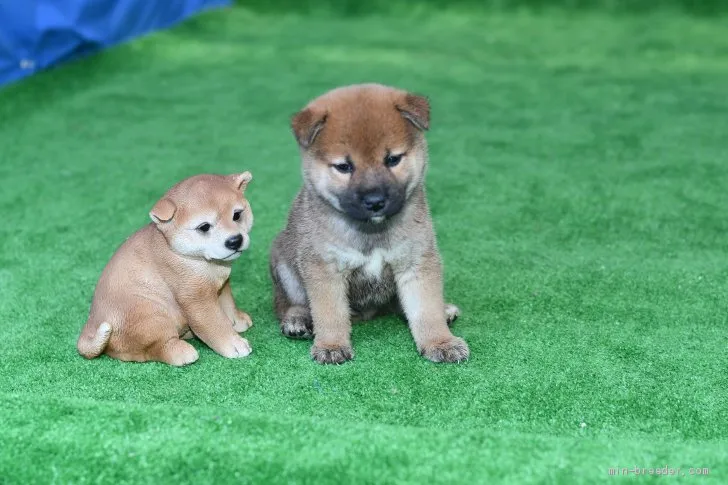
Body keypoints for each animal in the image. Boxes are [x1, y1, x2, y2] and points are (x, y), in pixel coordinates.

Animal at [78, 172, 255, 364]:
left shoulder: (222, 286)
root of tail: (91, 326)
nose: (235, 240)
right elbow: (214, 323)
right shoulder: (197, 300)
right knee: (152, 349)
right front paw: (234, 344)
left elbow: (228, 304)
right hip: (153, 314)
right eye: (204, 227)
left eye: (237, 215)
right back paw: (181, 351)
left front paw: (237, 321)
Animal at [270, 83, 470, 364]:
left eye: (393, 159)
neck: (372, 230)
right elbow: (330, 313)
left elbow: (426, 309)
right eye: (344, 166)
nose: (375, 201)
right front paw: (331, 345)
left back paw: (444, 309)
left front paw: (440, 342)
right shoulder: (325, 269)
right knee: (286, 303)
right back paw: (297, 319)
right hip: (283, 262)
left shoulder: (416, 262)